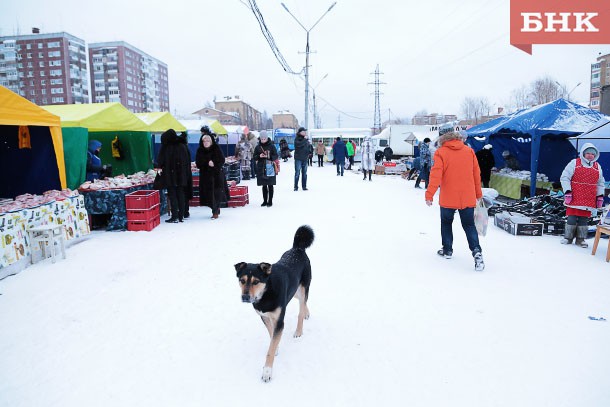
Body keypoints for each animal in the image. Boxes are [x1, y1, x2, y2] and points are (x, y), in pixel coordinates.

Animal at [233, 225, 314, 384]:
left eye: (256, 282)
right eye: (242, 280)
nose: (245, 297)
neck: (266, 293)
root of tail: (297, 248)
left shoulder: (279, 320)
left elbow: (270, 349)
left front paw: (267, 372)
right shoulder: (264, 316)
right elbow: (271, 334)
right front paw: (275, 346)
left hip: (303, 286)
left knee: (301, 307)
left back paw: (299, 330)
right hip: (294, 290)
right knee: (302, 302)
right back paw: (307, 313)